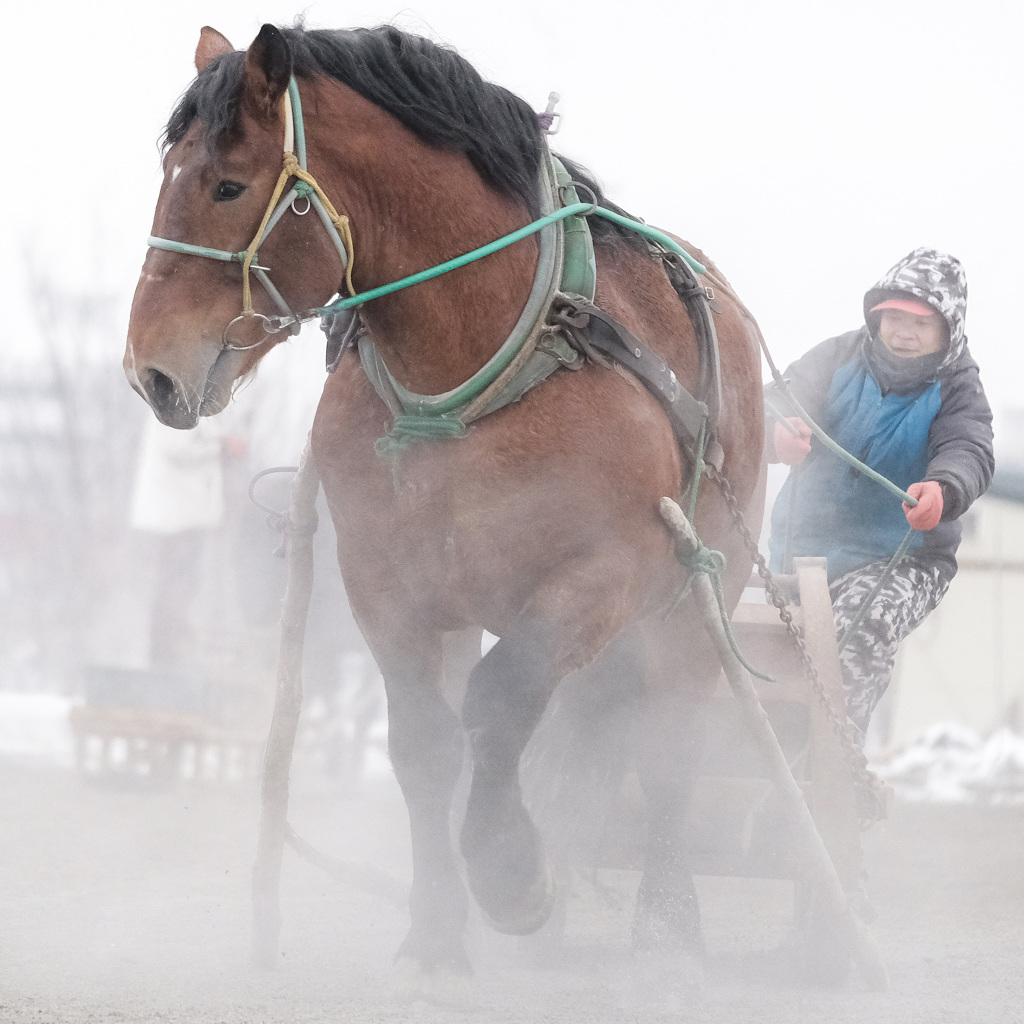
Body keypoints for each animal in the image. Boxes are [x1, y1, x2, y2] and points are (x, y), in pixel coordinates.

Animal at [123, 22, 765, 999]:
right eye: (166, 174)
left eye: (228, 183)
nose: (148, 368)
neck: (479, 361)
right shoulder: (388, 584)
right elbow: (426, 745)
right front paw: (435, 935)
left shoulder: (606, 571)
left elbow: (501, 701)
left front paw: (511, 875)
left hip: (695, 606)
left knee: (663, 751)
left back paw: (667, 931)